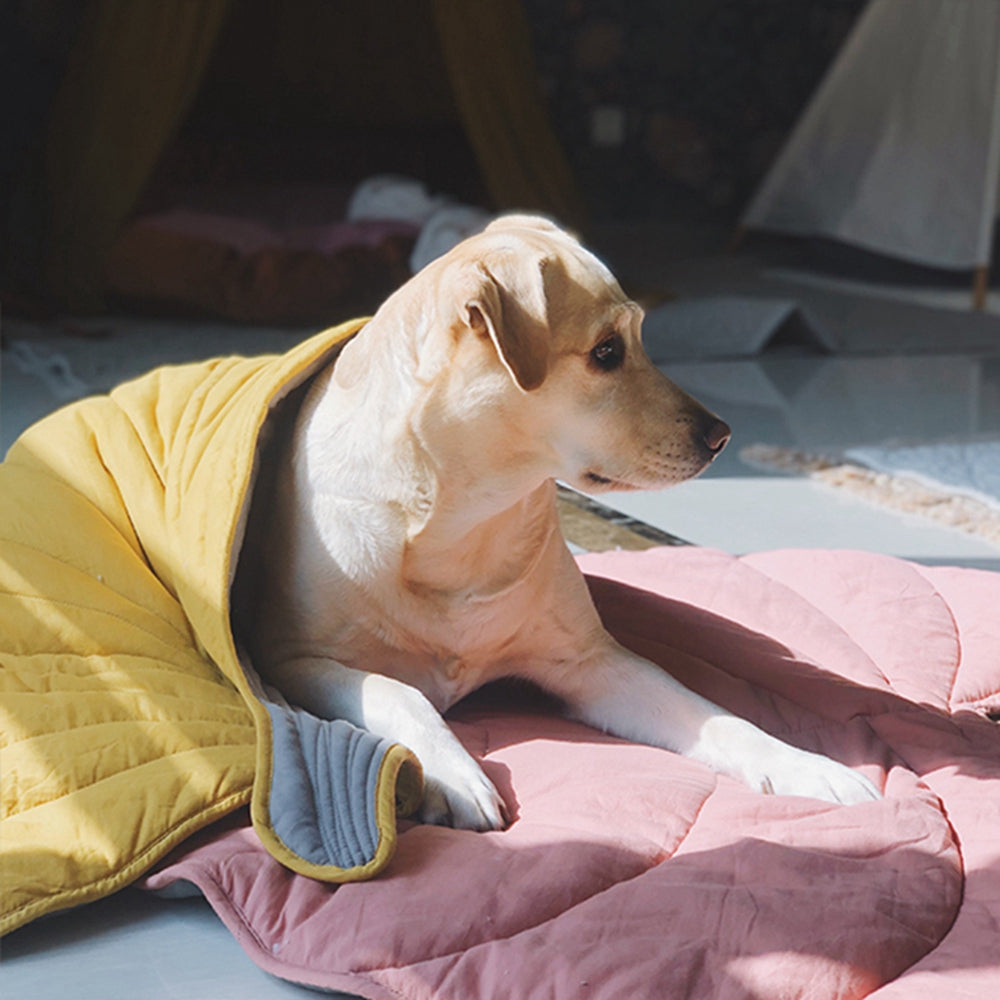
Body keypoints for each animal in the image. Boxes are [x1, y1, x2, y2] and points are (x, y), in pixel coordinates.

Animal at [254, 217, 880, 828]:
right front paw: (454, 774)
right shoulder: (294, 662)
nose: (721, 436)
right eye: (606, 352)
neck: (463, 520)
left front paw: (809, 766)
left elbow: (716, 716)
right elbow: (396, 692)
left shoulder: (592, 661)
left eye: (637, 339)